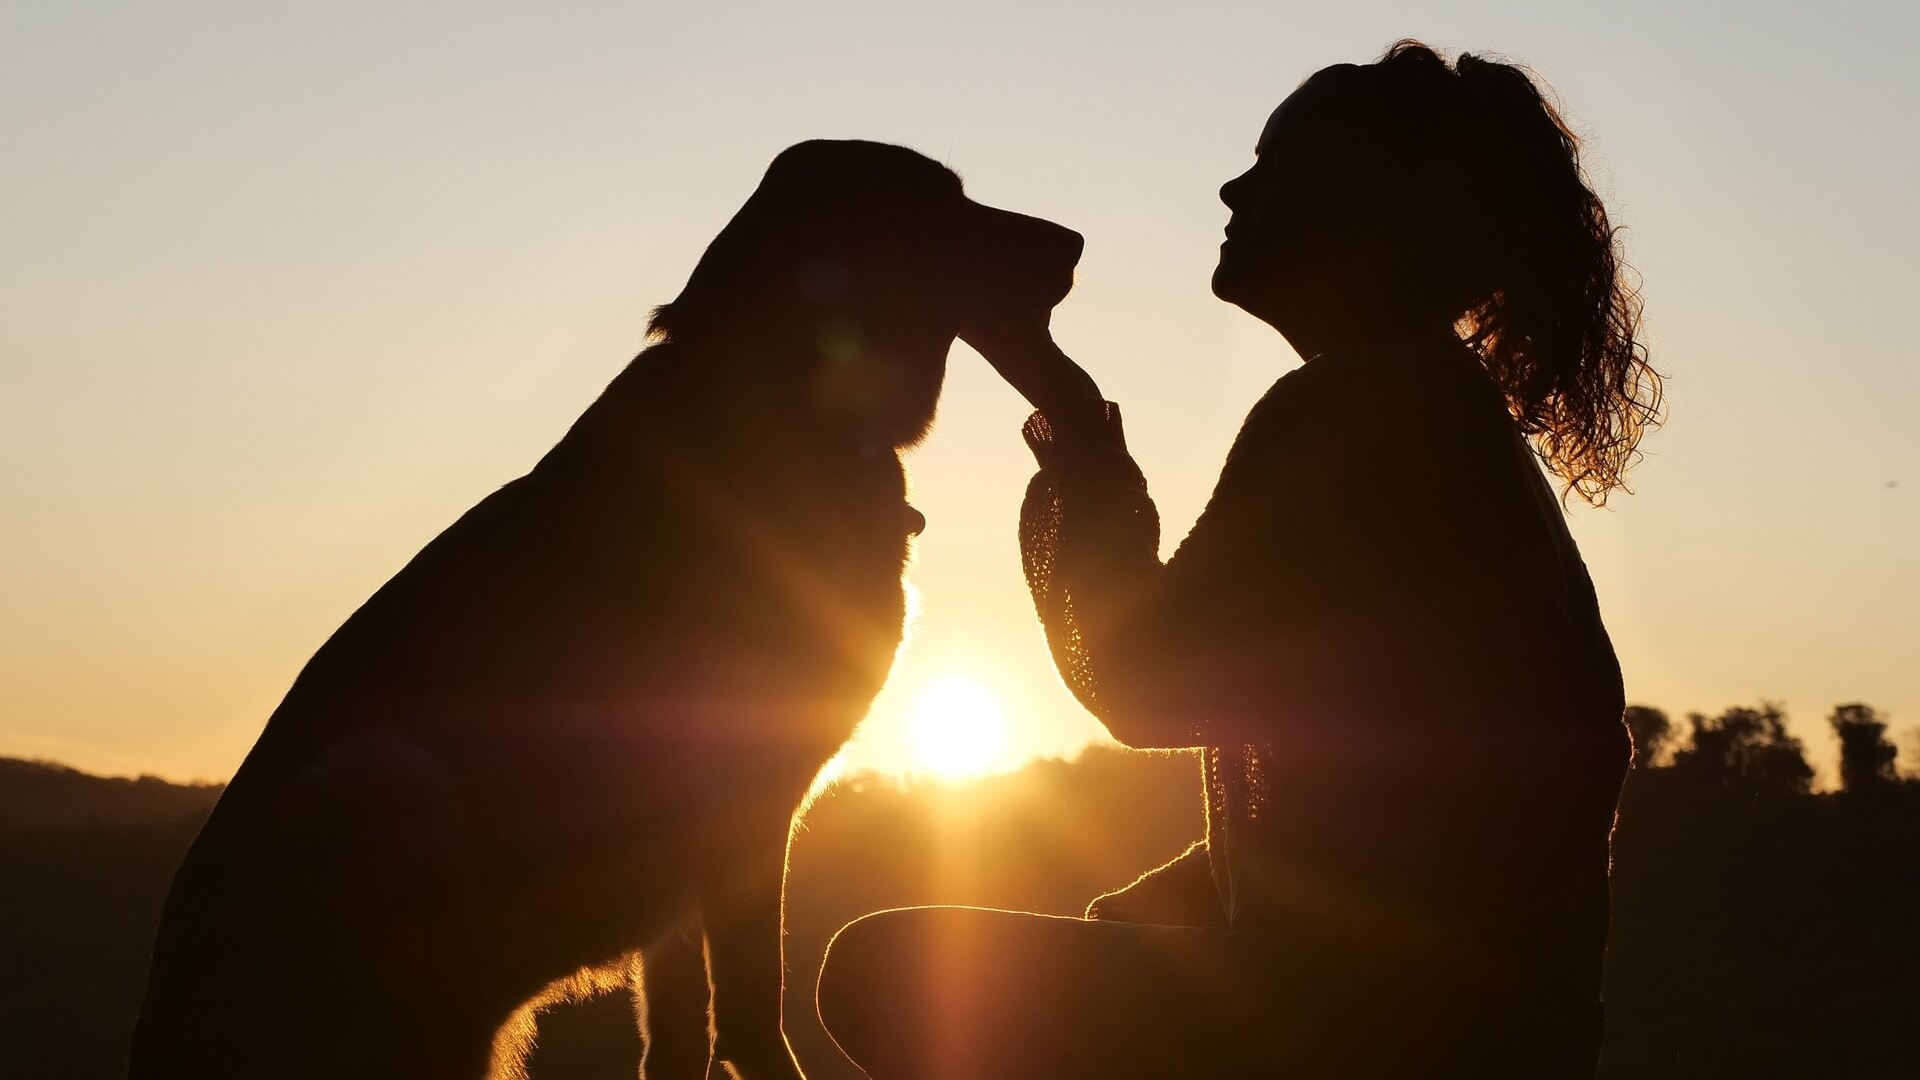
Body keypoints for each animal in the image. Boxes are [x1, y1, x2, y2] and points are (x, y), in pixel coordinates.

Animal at [131, 143, 1098, 1076]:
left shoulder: (687, 887)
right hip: (379, 783)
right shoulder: (746, 806)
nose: (1075, 242)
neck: (784, 407)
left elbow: (680, 1038)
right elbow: (752, 1014)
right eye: (943, 203)